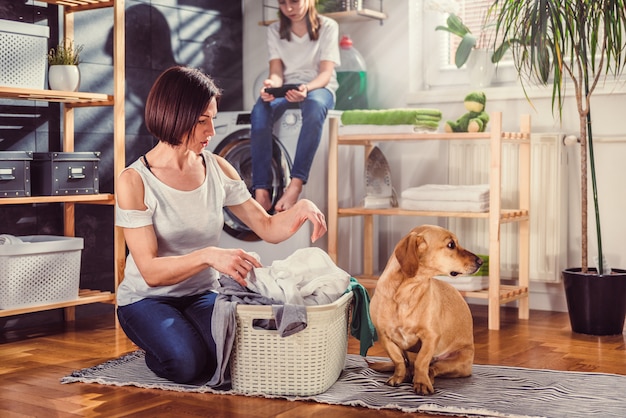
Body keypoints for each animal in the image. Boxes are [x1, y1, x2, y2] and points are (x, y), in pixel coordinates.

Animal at [368, 224, 480, 394]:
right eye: (451, 245)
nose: (481, 261)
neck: (406, 293)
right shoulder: (384, 336)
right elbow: (398, 360)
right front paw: (397, 377)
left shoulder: (430, 337)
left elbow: (422, 362)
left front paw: (421, 383)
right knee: (410, 365)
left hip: (458, 362)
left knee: (433, 368)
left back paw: (426, 378)